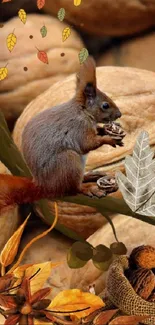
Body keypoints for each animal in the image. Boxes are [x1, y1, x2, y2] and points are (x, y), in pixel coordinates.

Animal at [0, 57, 121, 211]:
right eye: (105, 105)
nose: (119, 114)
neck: (82, 111)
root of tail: (44, 187)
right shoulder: (78, 127)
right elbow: (87, 144)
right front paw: (109, 139)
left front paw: (106, 130)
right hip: (68, 161)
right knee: (73, 189)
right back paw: (88, 188)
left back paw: (90, 176)